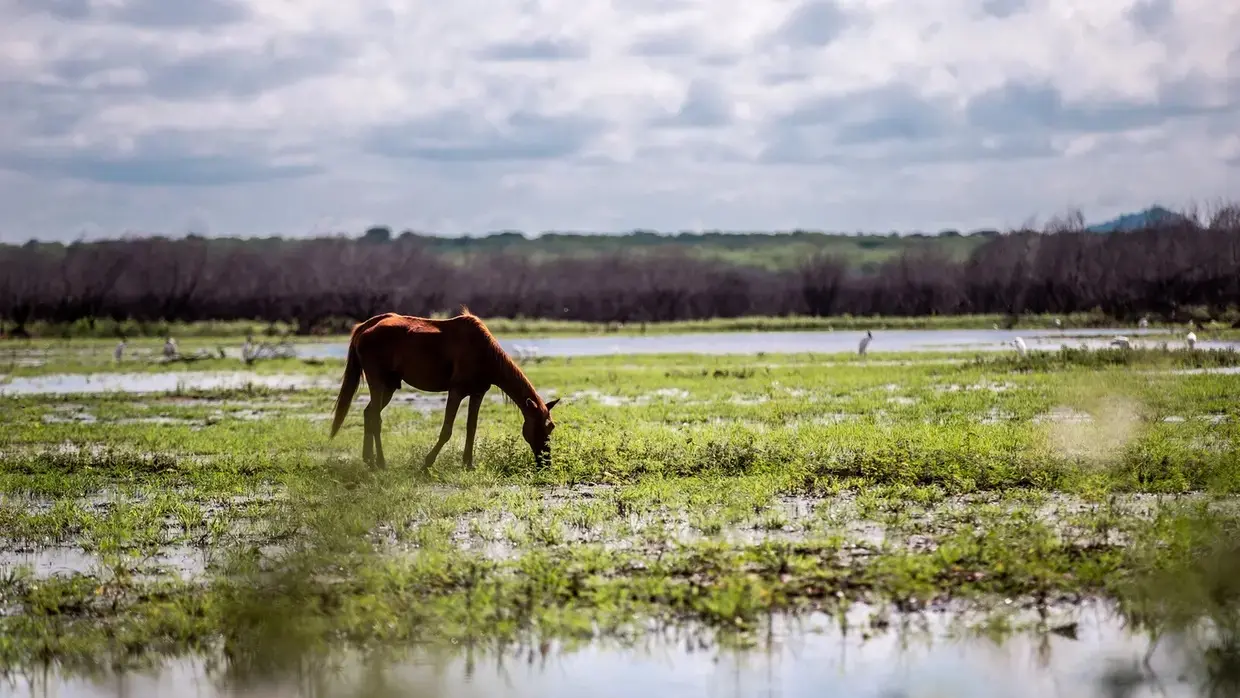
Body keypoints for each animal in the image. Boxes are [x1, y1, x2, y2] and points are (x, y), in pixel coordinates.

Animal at [328, 309, 560, 470]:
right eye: (545, 427)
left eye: (552, 427)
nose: (545, 463)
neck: (485, 354)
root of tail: (363, 328)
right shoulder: (456, 390)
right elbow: (446, 430)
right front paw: (427, 463)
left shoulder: (478, 393)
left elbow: (471, 428)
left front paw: (468, 463)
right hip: (377, 381)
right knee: (375, 418)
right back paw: (381, 463)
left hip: (390, 386)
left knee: (369, 414)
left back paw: (369, 460)